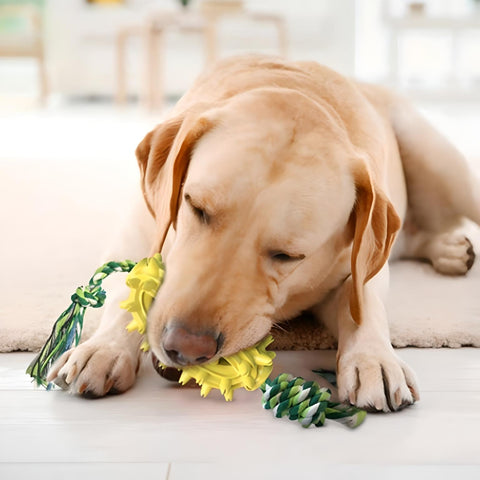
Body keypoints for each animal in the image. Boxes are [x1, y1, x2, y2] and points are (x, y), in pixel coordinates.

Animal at [47, 55, 480, 408]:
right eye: (196, 207)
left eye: (288, 256)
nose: (183, 350)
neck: (295, 89)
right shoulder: (138, 230)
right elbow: (127, 287)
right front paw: (103, 349)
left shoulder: (357, 264)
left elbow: (364, 304)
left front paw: (374, 358)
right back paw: (448, 248)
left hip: (443, 166)